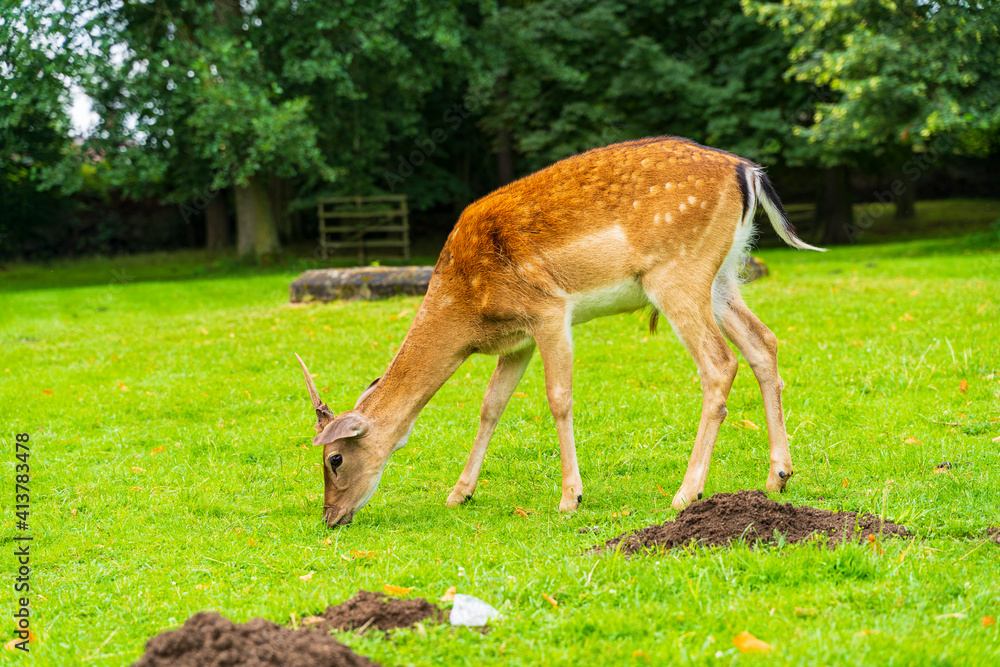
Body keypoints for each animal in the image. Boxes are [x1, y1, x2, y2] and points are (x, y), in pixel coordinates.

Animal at [296, 136, 824, 527]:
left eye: (334, 459)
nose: (330, 517)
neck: (468, 311)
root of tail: (748, 172)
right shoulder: (517, 341)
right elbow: (491, 405)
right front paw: (459, 493)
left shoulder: (548, 310)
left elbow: (558, 398)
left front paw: (571, 497)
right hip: (724, 275)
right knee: (763, 343)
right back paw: (778, 476)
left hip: (678, 272)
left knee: (719, 362)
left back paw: (686, 493)